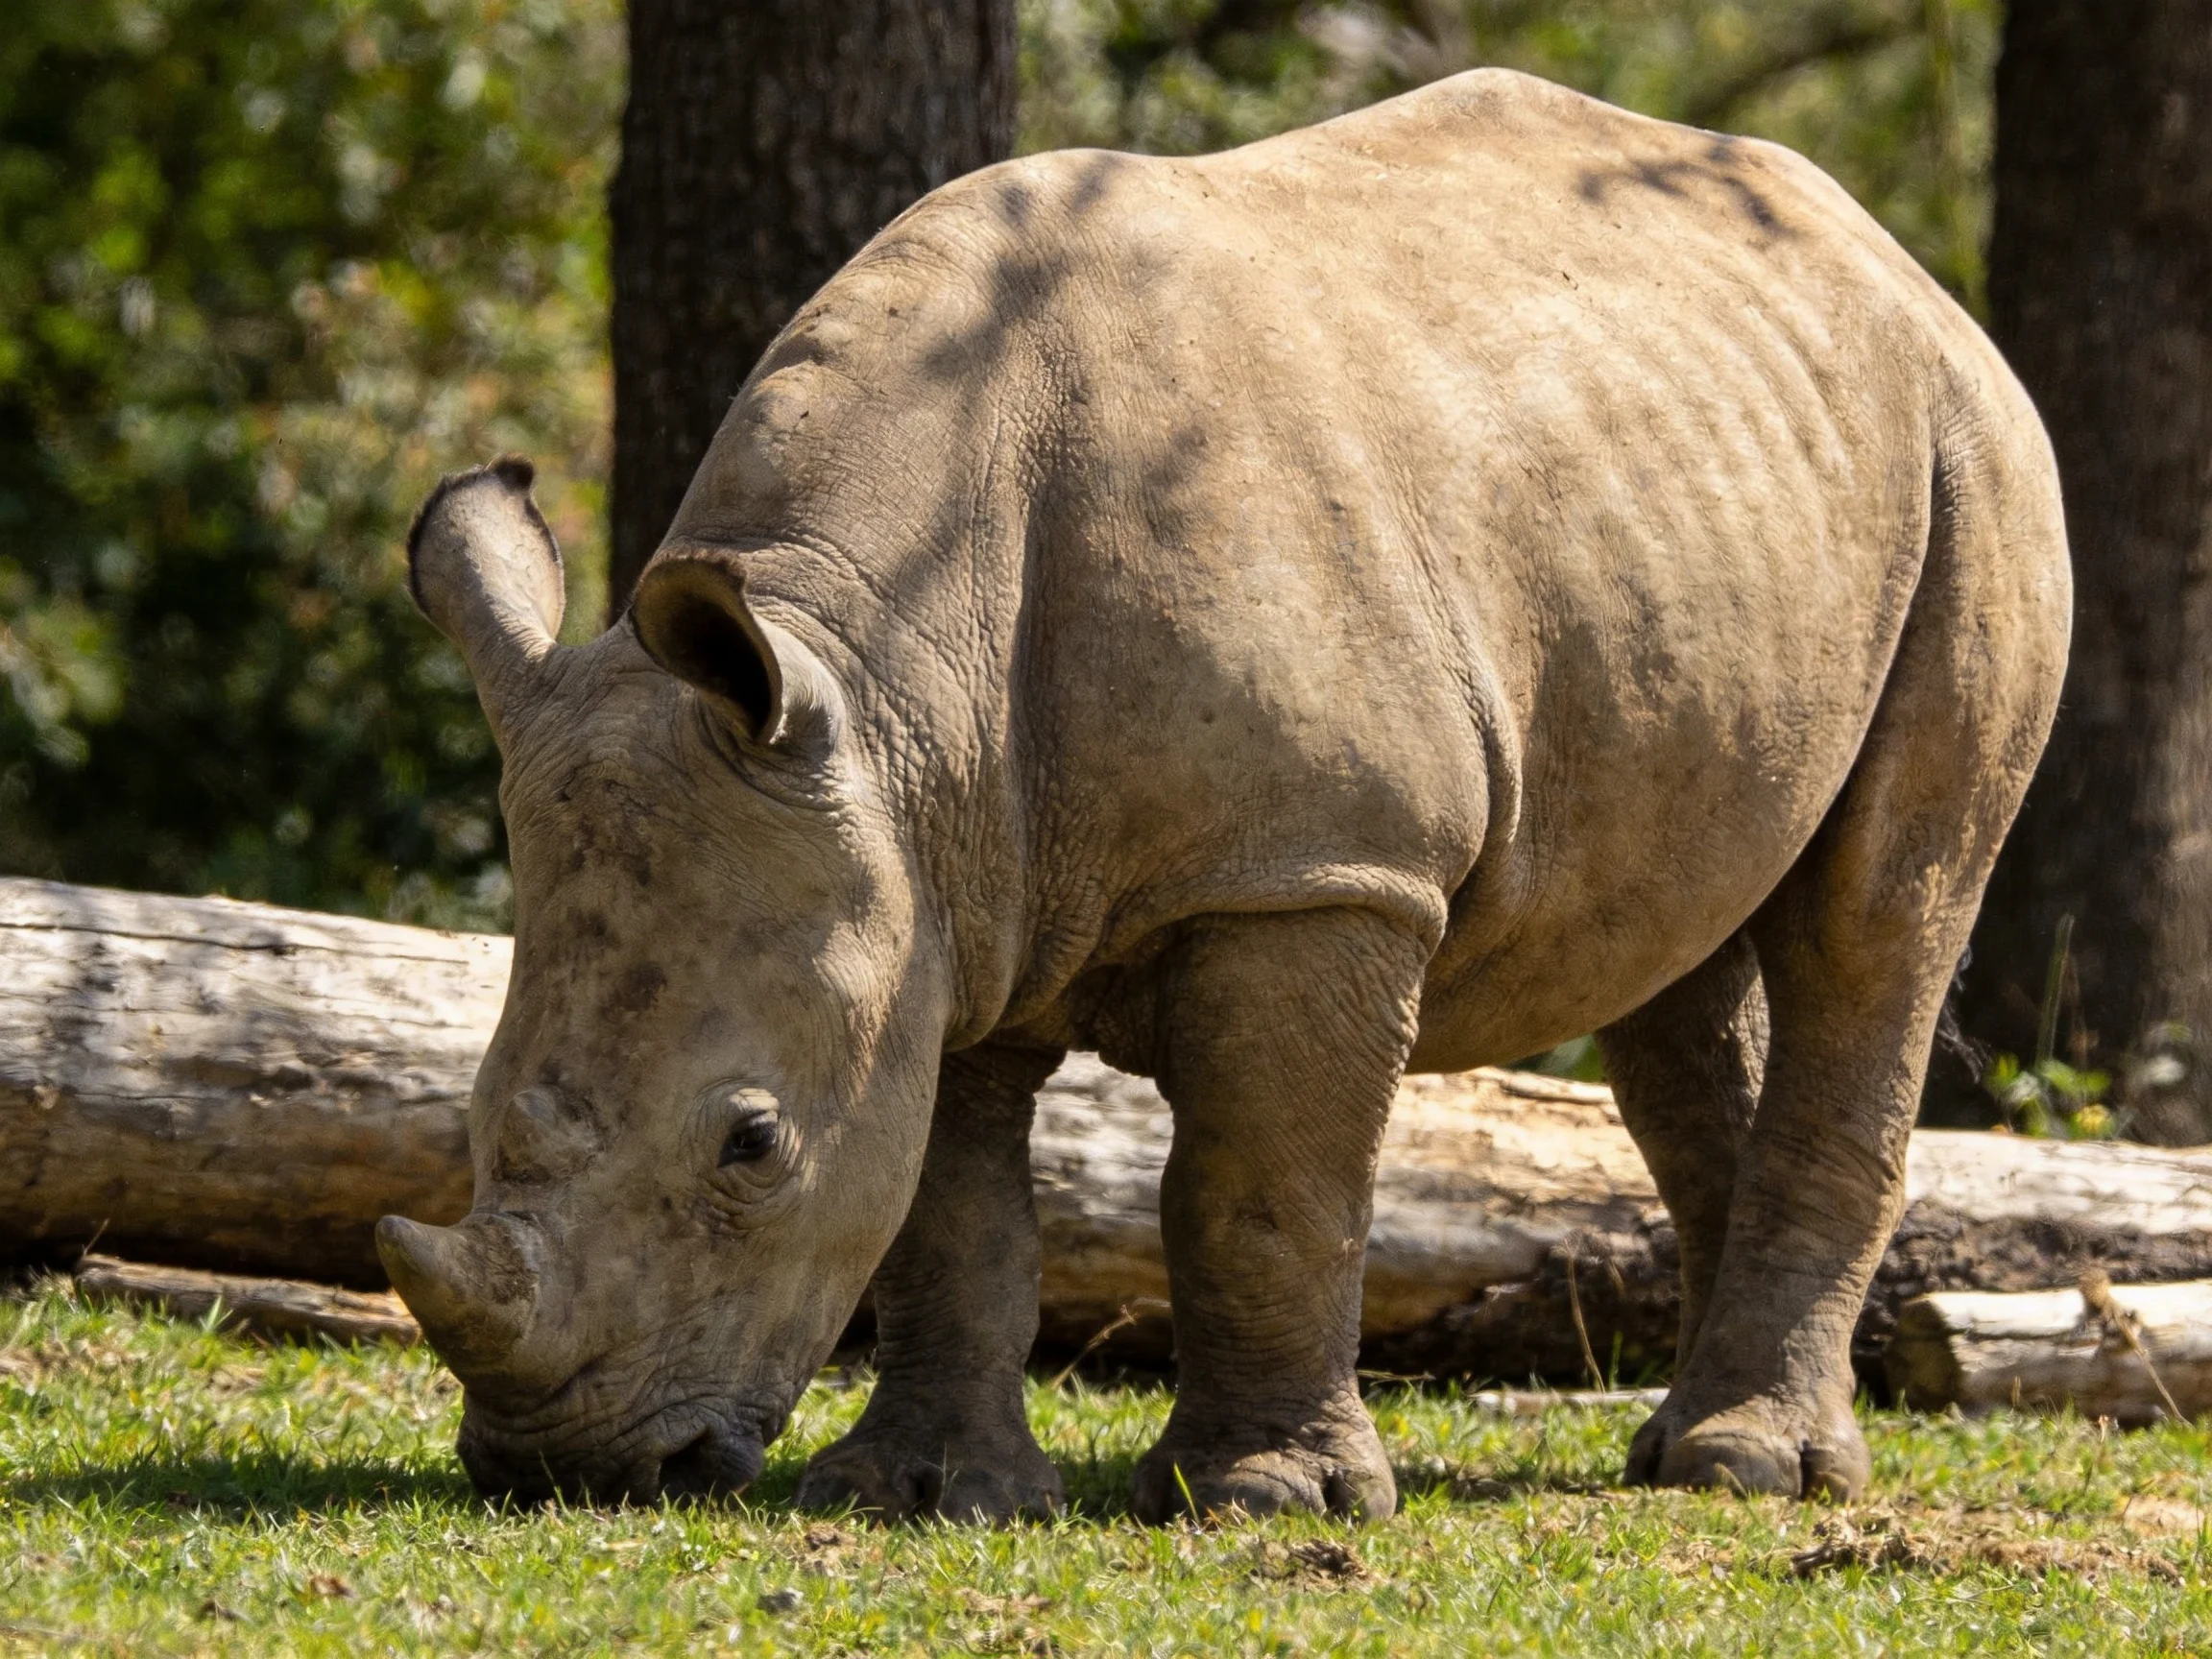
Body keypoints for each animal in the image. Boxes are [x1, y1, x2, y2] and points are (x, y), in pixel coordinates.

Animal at [378, 68, 2068, 1521]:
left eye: (751, 1145)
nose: (574, 1466)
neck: (884, 670)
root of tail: (1884, 252)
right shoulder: (941, 885)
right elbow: (947, 1206)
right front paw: (920, 1493)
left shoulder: (1312, 869)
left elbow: (1258, 1189)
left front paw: (1262, 1500)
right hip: (1714, 494)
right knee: (1670, 951)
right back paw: (1687, 1453)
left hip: (1978, 452)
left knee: (1879, 918)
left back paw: (1751, 1471)